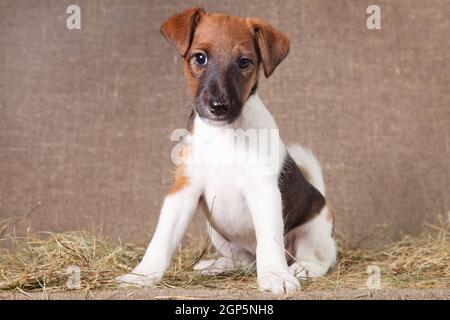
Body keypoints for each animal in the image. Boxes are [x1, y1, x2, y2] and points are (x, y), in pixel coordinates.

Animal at [118, 6, 336, 296]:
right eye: (200, 58)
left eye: (244, 62)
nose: (218, 106)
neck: (223, 135)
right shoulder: (183, 191)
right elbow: (161, 240)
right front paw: (142, 275)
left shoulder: (264, 192)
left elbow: (270, 241)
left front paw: (275, 276)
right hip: (216, 231)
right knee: (243, 260)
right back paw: (217, 265)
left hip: (314, 229)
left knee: (320, 259)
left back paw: (302, 269)